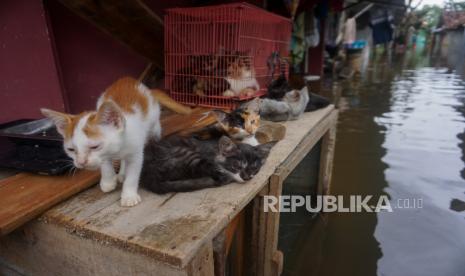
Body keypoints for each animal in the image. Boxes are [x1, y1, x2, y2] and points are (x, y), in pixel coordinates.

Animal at [40, 76, 190, 206]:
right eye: (71, 150)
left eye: (94, 146)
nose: (81, 162)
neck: (119, 146)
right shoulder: (106, 154)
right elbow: (105, 163)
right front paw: (108, 180)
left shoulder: (136, 152)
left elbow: (133, 173)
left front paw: (129, 195)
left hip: (154, 126)